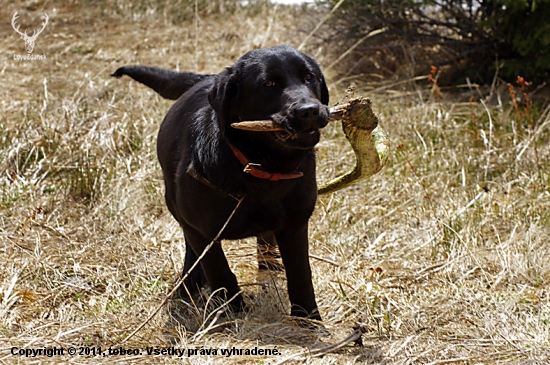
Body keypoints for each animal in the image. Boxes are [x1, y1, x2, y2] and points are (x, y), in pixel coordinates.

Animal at [110, 44, 330, 318]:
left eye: (309, 77)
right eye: (268, 84)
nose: (309, 110)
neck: (260, 168)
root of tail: (206, 78)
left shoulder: (295, 223)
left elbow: (301, 275)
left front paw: (309, 319)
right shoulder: (202, 230)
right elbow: (219, 271)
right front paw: (232, 311)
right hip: (175, 204)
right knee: (191, 247)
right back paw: (190, 281)